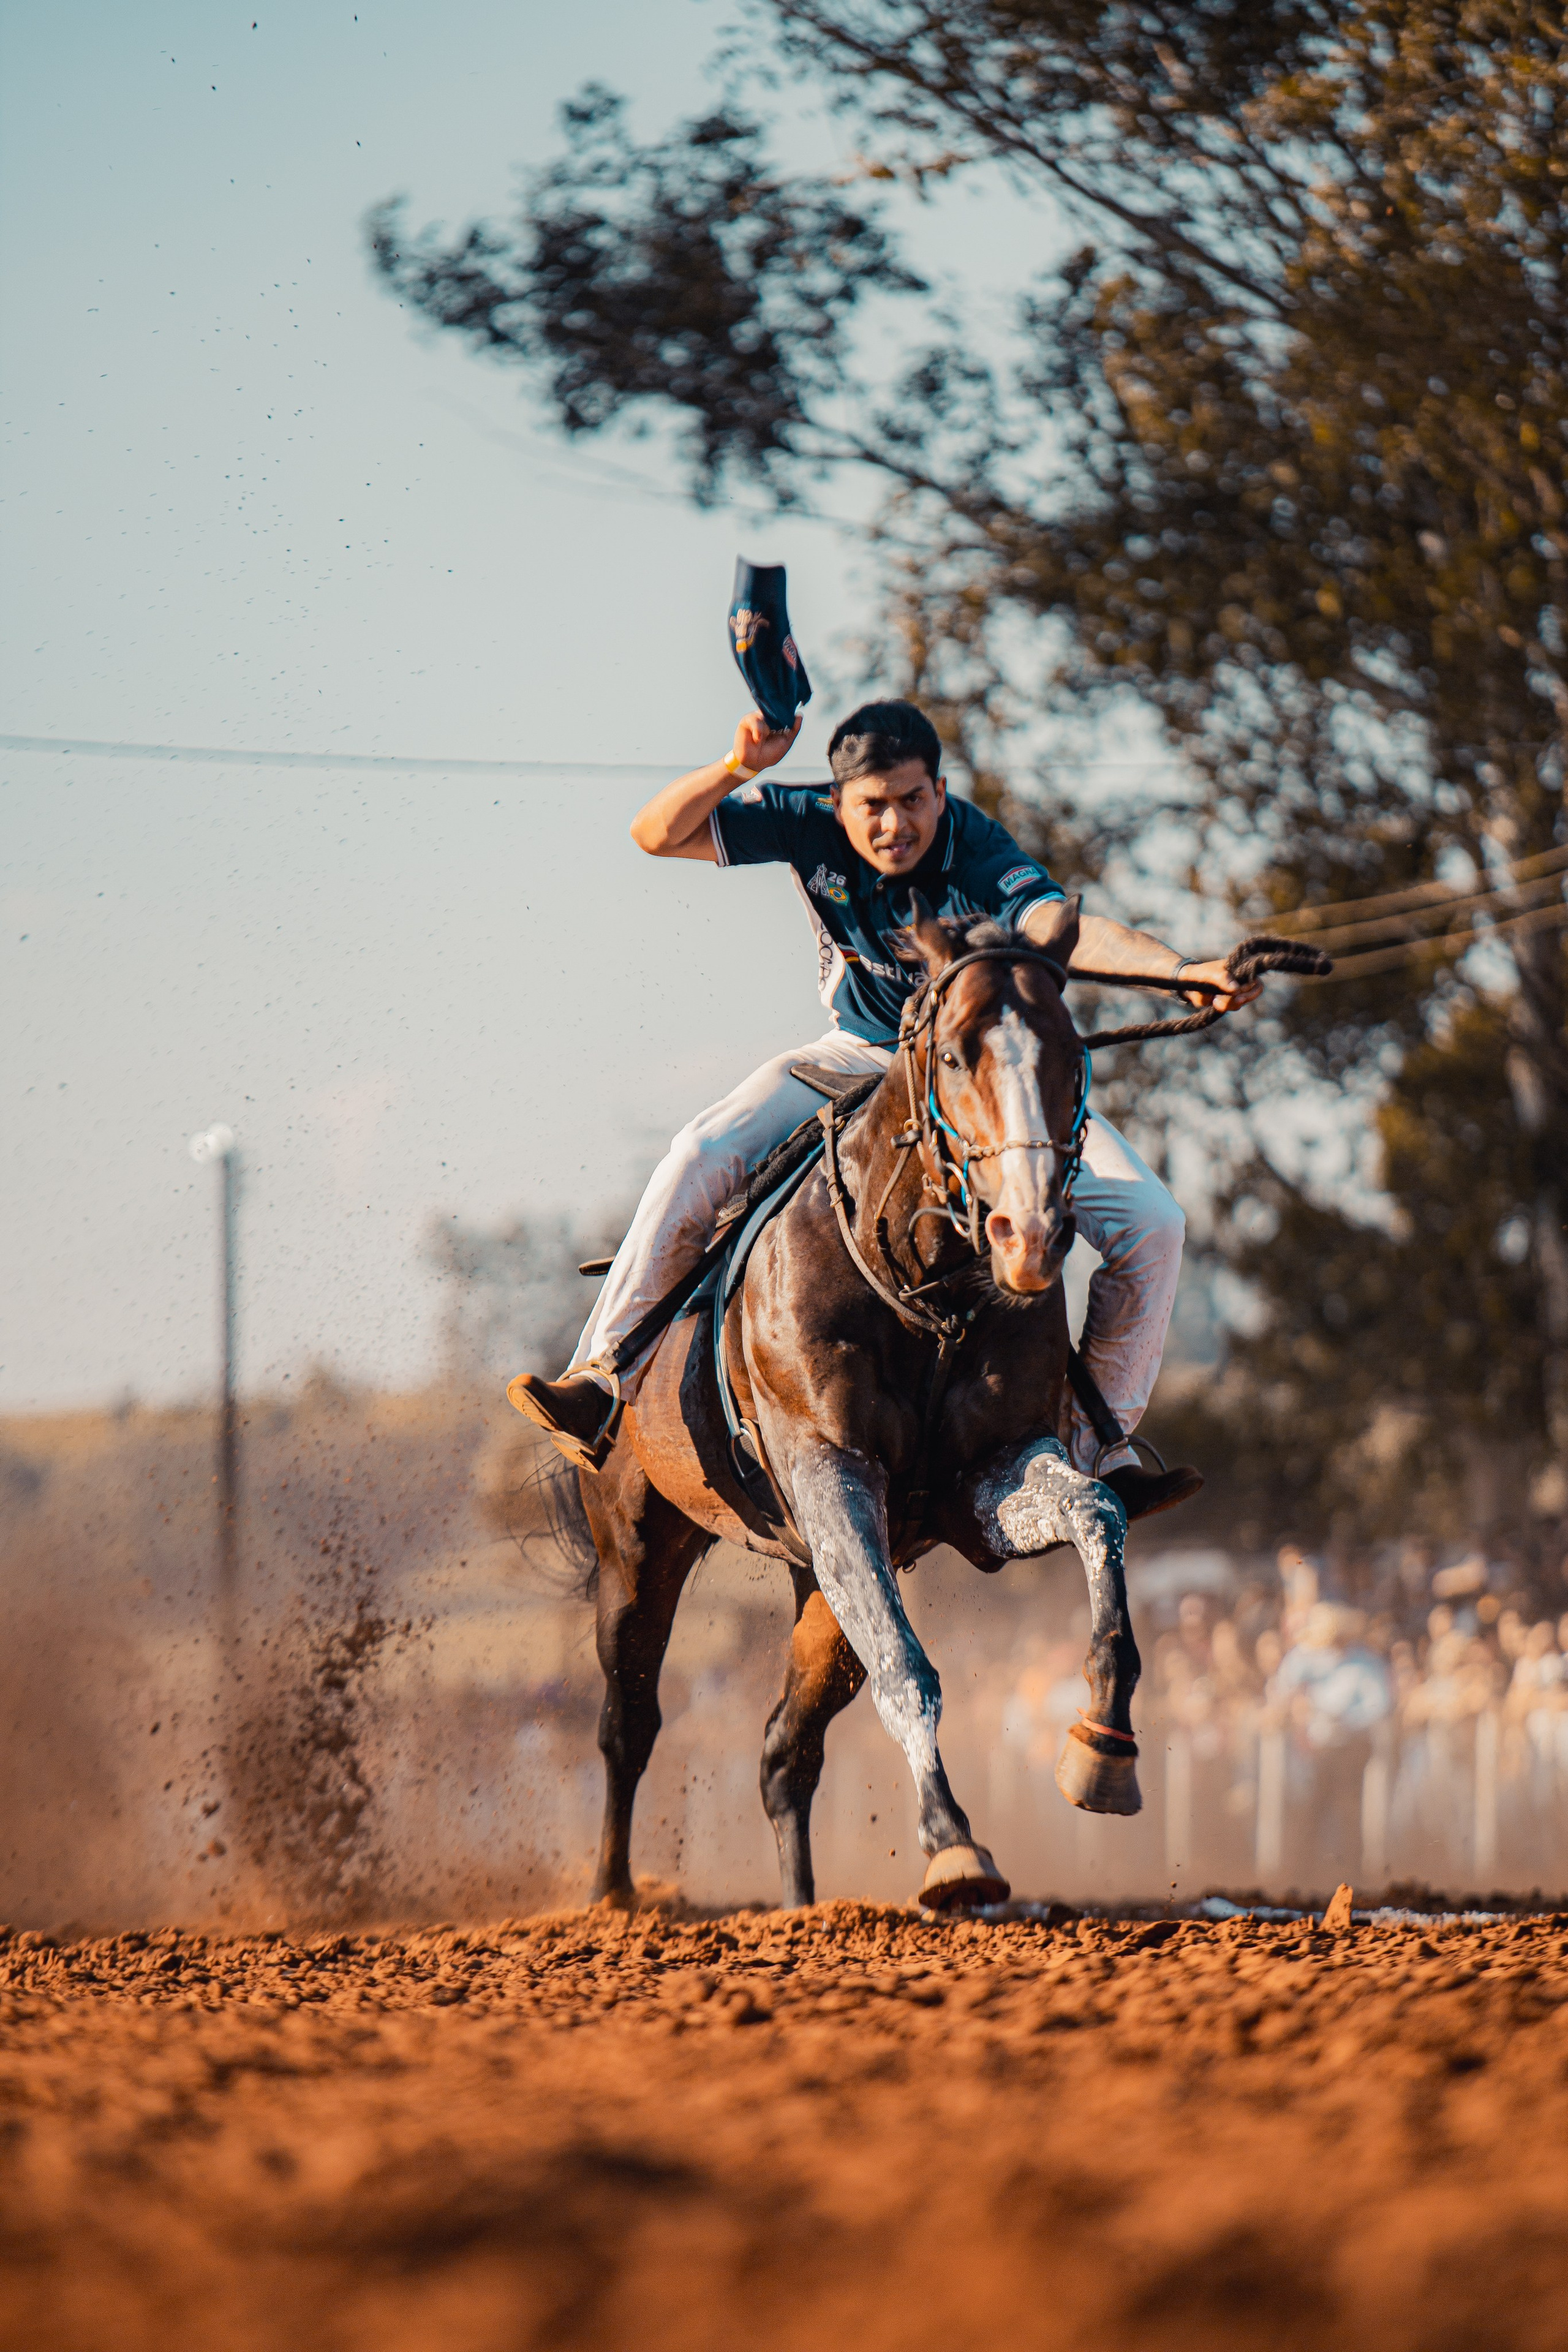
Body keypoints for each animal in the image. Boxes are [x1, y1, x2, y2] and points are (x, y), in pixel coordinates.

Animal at [563, 893, 1142, 1912]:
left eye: (1071, 1051)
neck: (919, 1291)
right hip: (635, 1549)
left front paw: (1104, 1741)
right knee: (628, 1724)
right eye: (955, 1055)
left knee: (782, 1753)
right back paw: (615, 1896)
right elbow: (904, 1665)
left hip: (814, 1585)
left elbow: (1099, 1514)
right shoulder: (832, 1474)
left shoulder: (989, 1475)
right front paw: (952, 1843)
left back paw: (799, 1908)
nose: (1030, 1232)